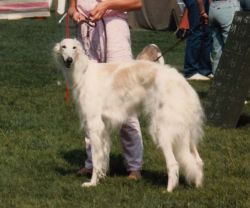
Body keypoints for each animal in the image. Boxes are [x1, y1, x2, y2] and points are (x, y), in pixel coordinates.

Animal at [53, 38, 204, 192]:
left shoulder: (94, 124)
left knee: (174, 164)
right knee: (198, 160)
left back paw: (168, 190)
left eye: (74, 47)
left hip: (162, 130)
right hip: (186, 133)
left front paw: (92, 183)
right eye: (63, 47)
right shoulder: (104, 128)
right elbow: (103, 157)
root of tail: (183, 83)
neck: (84, 71)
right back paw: (198, 185)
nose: (69, 60)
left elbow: (96, 158)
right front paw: (101, 177)